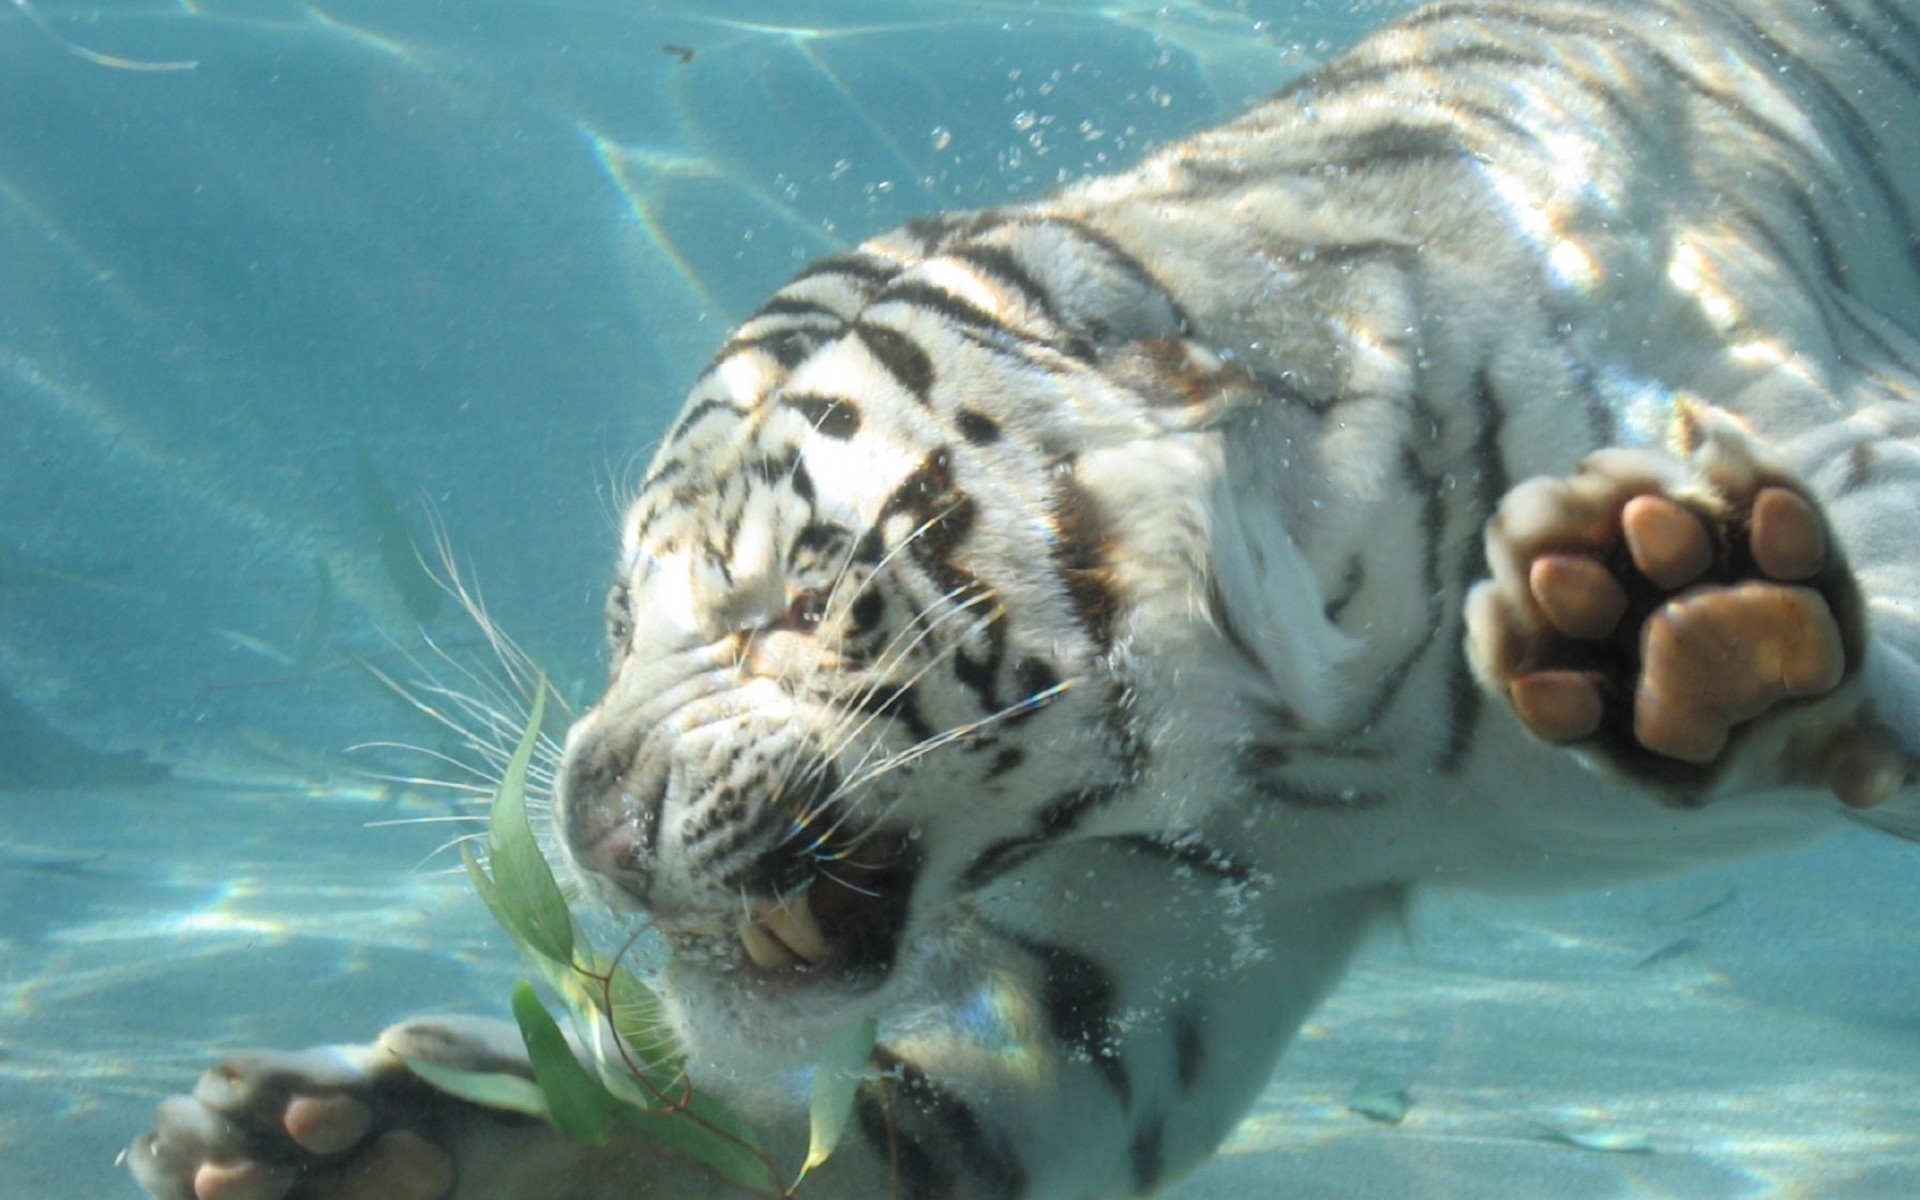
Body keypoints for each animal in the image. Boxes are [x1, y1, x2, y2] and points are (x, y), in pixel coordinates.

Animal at [127, 2, 1912, 1198]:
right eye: (625, 625)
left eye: (786, 591)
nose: (588, 820)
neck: (1324, 734)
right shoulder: (1138, 951)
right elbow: (889, 1124)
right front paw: (369, 1142)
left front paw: (1663, 610)